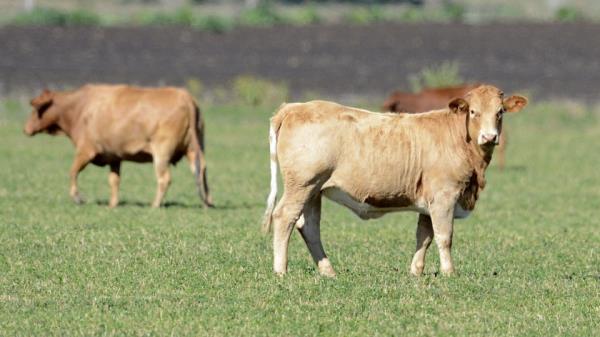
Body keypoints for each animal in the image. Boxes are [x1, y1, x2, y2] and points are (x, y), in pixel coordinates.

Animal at [24, 83, 214, 207]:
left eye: (36, 110)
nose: (25, 128)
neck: (80, 108)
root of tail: (185, 97)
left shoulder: (86, 150)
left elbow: (73, 172)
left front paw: (77, 197)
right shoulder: (114, 156)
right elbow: (114, 180)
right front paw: (113, 204)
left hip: (162, 151)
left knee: (164, 178)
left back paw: (155, 204)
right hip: (195, 148)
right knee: (202, 170)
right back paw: (208, 202)